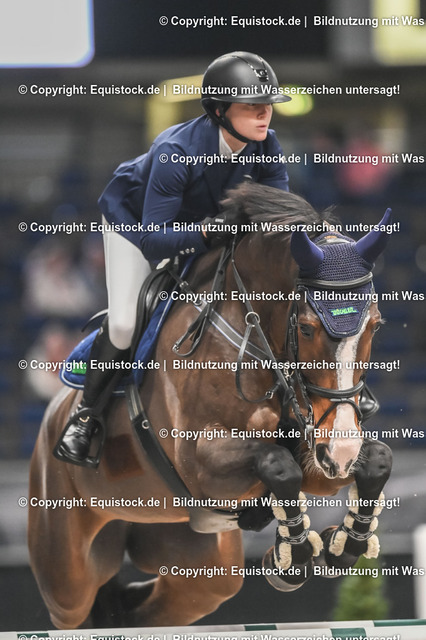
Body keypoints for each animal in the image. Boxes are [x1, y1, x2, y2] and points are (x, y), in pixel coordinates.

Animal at [28, 182, 393, 629]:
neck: (253, 337)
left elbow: (376, 458)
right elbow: (277, 463)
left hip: (201, 566)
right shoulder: (202, 466)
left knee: (145, 607)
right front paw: (296, 556)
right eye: (306, 329)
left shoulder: (318, 447)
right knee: (76, 605)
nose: (340, 451)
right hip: (65, 570)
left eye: (375, 325)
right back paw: (77, 438)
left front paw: (343, 544)